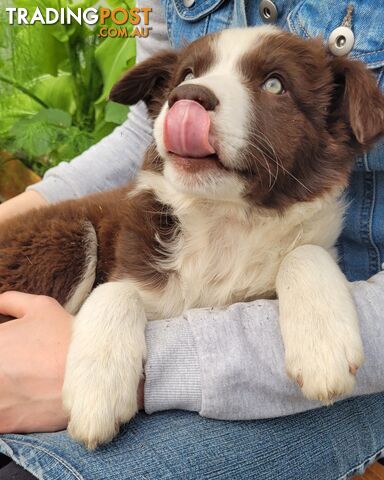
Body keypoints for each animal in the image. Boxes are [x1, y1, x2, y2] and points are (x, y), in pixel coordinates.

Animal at [0, 26, 384, 448]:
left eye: (274, 84)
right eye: (186, 75)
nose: (188, 97)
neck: (224, 221)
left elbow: (306, 253)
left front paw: (323, 347)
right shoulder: (132, 255)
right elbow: (115, 291)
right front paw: (96, 392)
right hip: (67, 236)